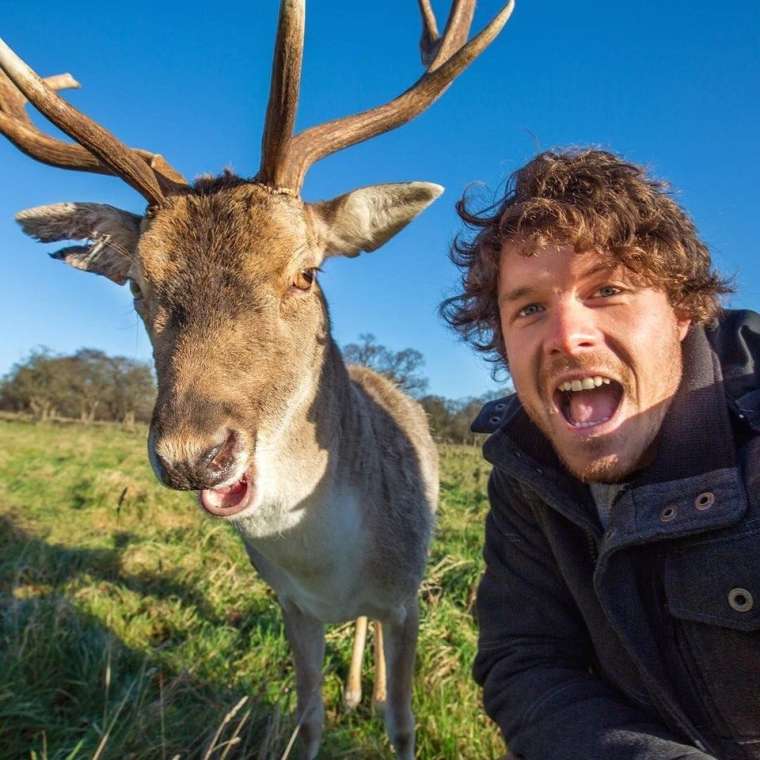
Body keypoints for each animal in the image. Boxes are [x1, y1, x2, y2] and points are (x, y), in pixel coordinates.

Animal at [2, 4, 512, 756]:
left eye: (307, 271)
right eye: (137, 287)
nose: (195, 455)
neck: (329, 567)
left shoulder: (407, 596)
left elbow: (404, 723)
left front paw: (384, 705)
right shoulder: (292, 607)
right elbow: (308, 717)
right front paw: (330, 708)